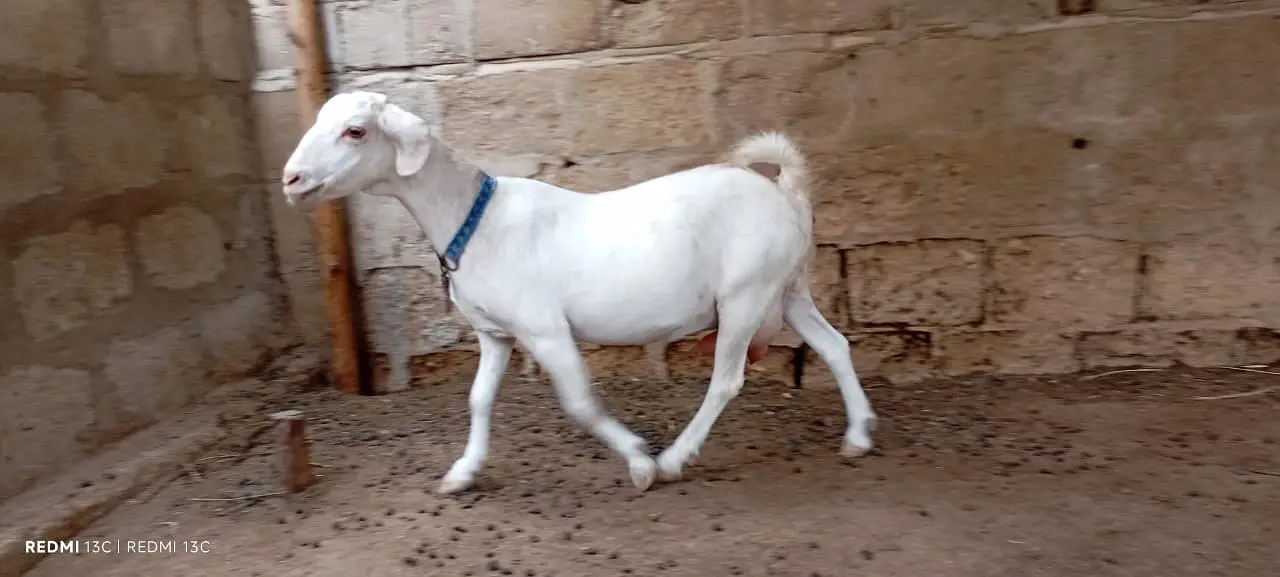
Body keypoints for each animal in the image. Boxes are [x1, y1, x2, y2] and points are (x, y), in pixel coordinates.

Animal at [281, 91, 878, 494]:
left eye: (356, 131)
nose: (291, 180)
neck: (474, 218)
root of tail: (786, 193)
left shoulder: (544, 329)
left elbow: (581, 403)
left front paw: (639, 461)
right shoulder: (496, 333)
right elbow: (479, 398)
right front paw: (462, 472)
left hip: (745, 294)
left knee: (726, 381)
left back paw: (674, 458)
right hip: (788, 288)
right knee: (834, 345)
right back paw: (858, 437)